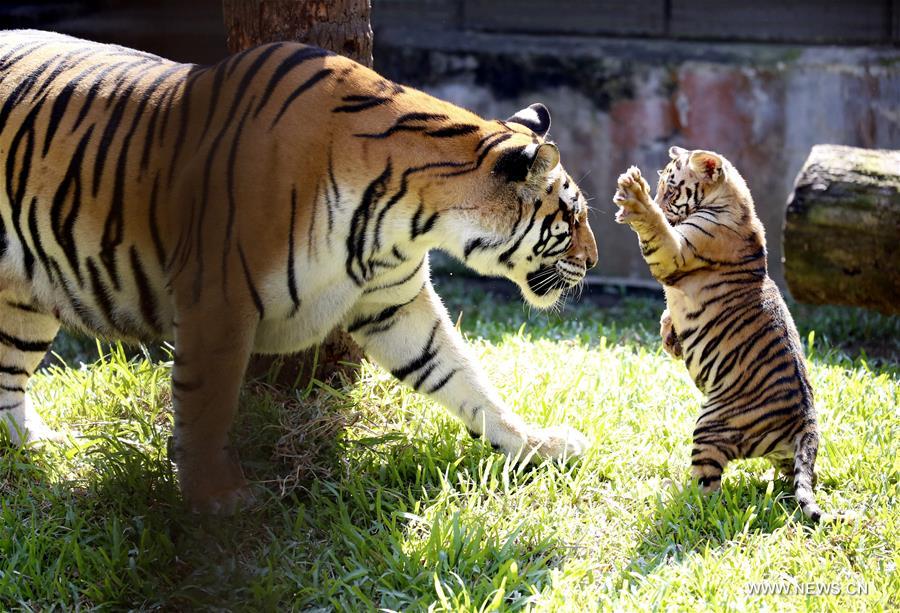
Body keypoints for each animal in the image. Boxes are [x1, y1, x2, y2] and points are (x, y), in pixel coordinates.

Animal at [0, 30, 598, 513]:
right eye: (572, 217)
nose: (592, 261)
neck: (408, 214)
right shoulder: (218, 304)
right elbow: (206, 403)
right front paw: (216, 497)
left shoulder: (395, 304)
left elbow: (464, 377)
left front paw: (536, 446)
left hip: (22, 305)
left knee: (8, 384)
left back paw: (42, 447)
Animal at [612, 146, 829, 522]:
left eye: (671, 191)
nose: (658, 201)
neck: (734, 203)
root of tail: (807, 421)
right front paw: (670, 336)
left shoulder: (676, 253)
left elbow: (657, 230)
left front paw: (636, 198)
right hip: (784, 454)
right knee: (799, 476)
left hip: (711, 425)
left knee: (709, 490)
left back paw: (680, 501)